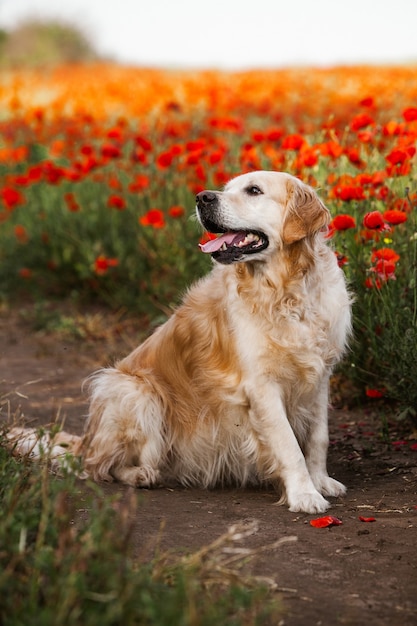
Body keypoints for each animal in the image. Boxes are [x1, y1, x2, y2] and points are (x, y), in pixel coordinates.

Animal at [7, 171, 352, 512]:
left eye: (254, 190)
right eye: (226, 188)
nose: (202, 197)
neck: (287, 290)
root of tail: (87, 440)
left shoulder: (320, 377)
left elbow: (318, 437)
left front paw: (320, 481)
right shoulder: (261, 385)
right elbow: (288, 444)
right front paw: (304, 494)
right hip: (135, 392)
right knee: (99, 466)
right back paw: (141, 474)